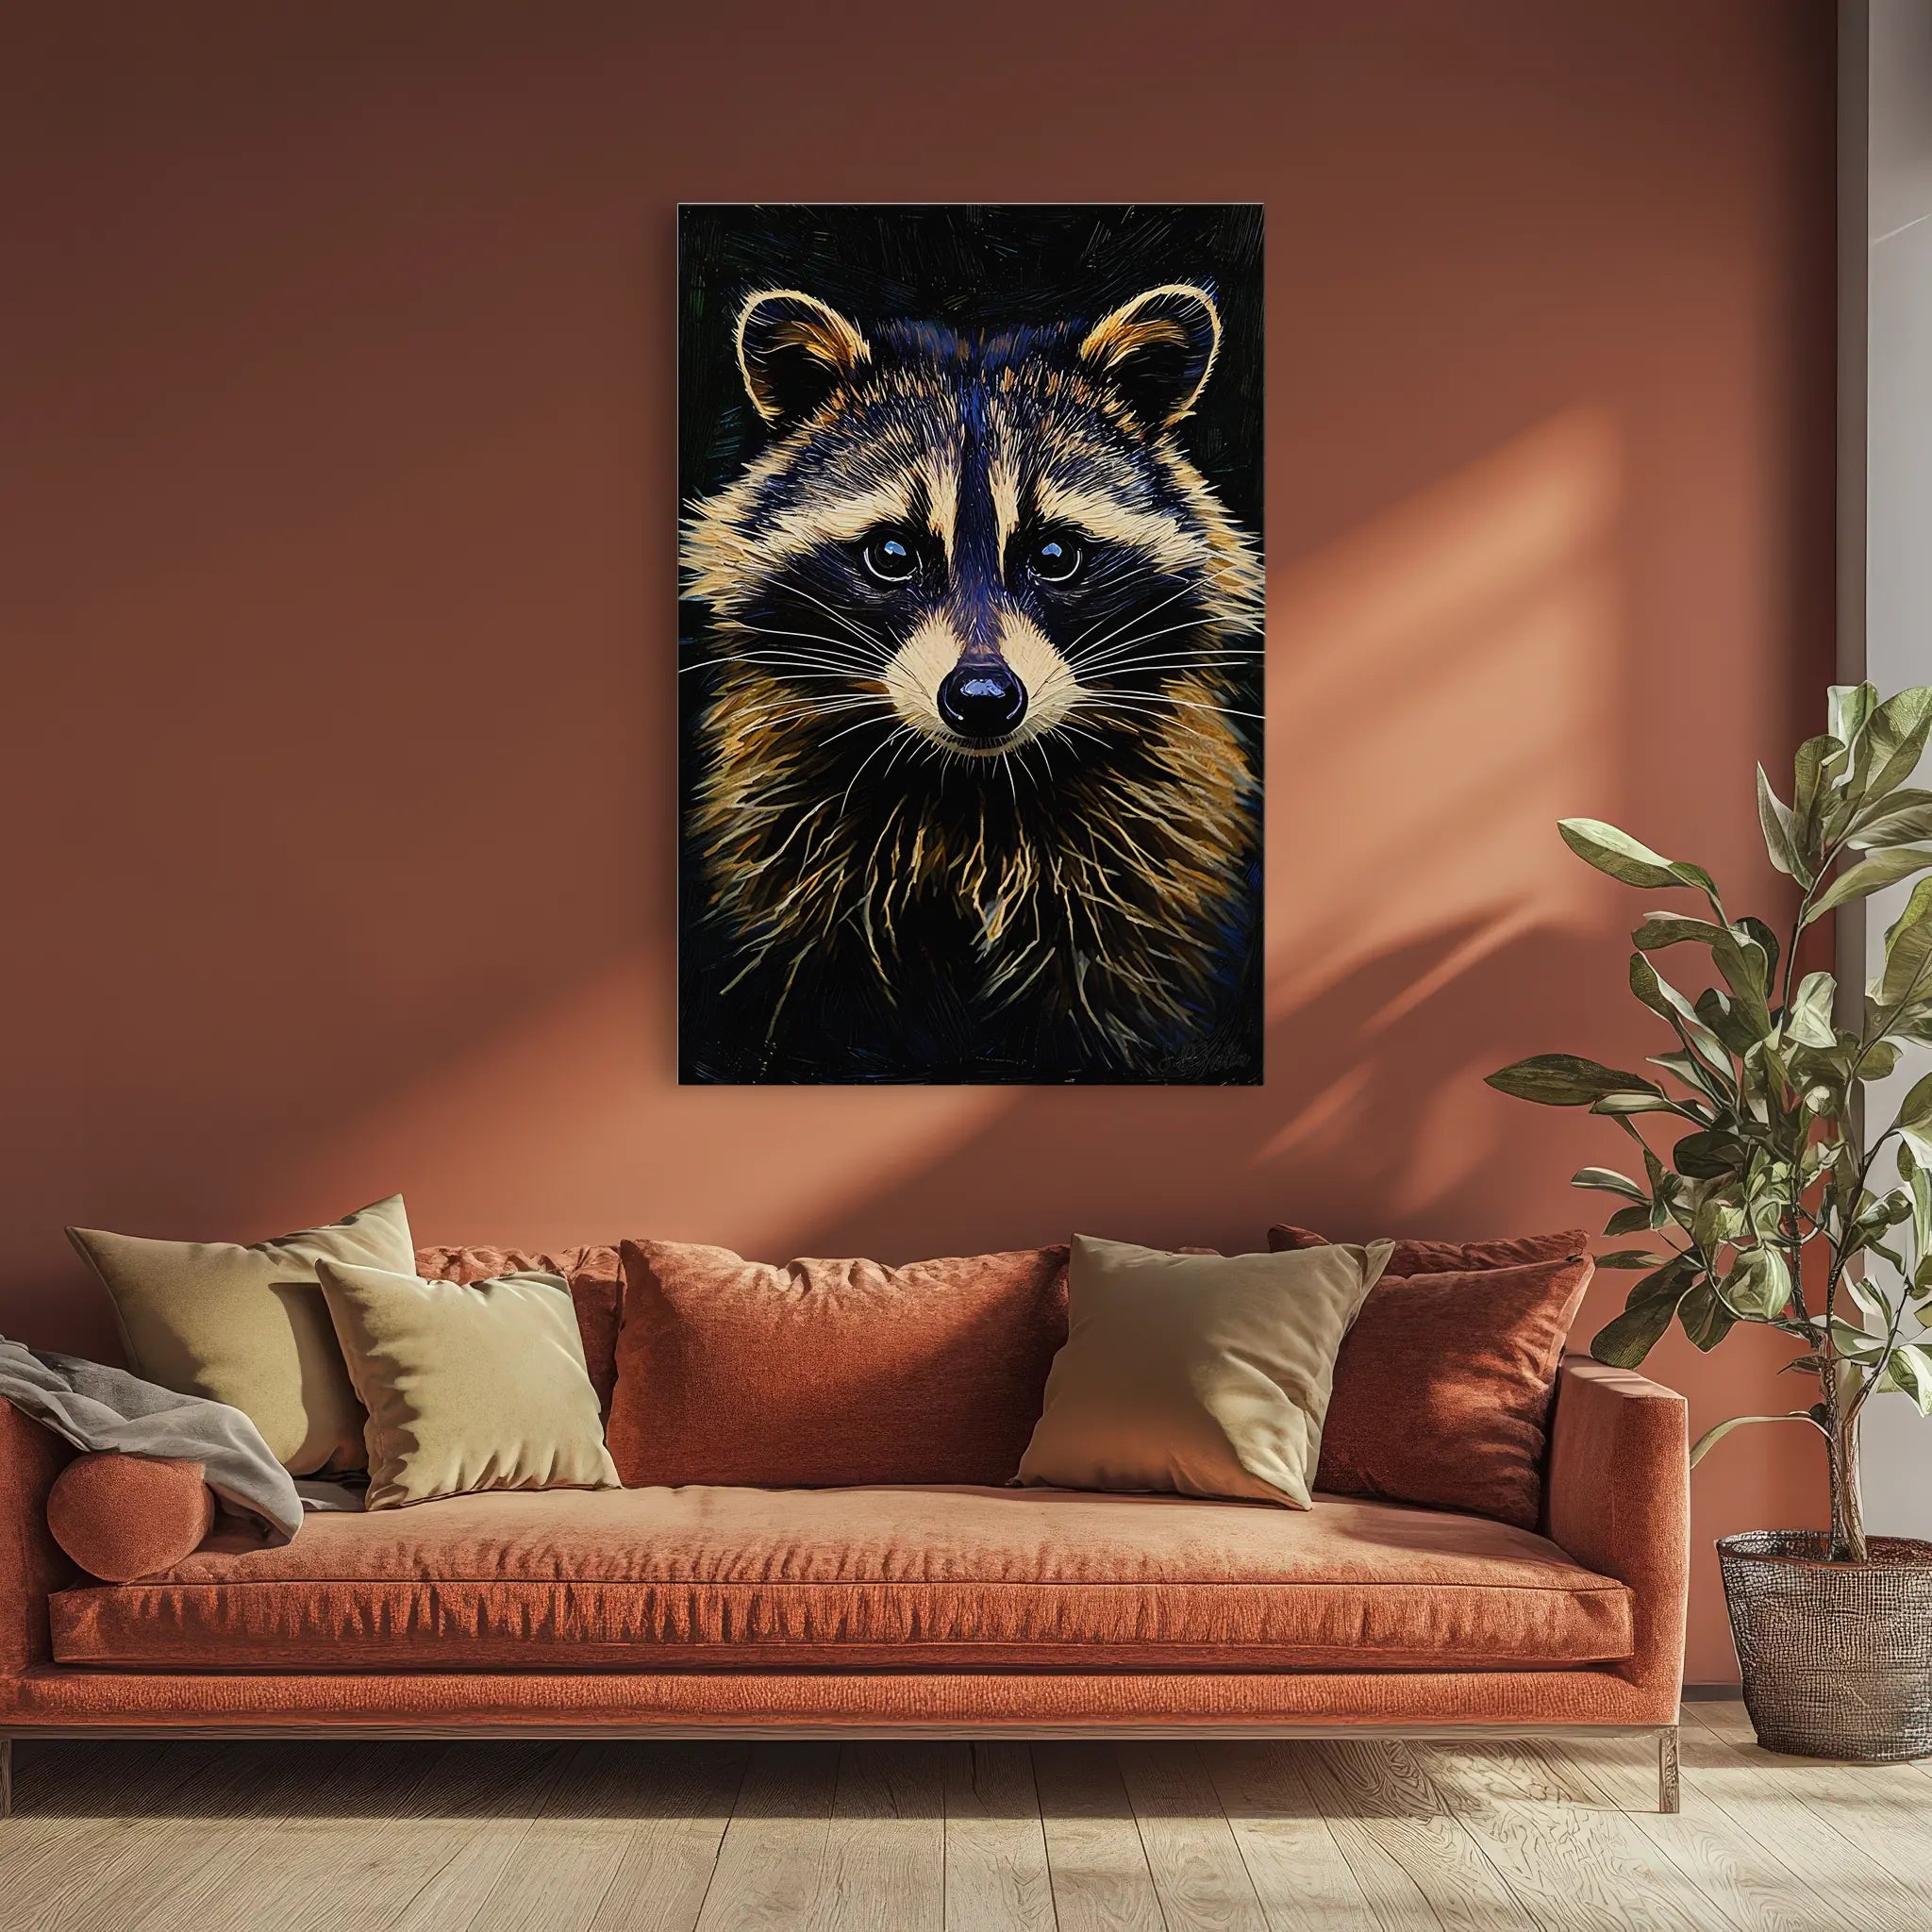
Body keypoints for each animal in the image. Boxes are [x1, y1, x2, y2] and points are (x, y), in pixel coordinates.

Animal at [680, 281, 1263, 1082]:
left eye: (1055, 554)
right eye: (892, 553)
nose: (982, 700)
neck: (972, 789)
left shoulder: (1147, 860)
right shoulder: (792, 853)